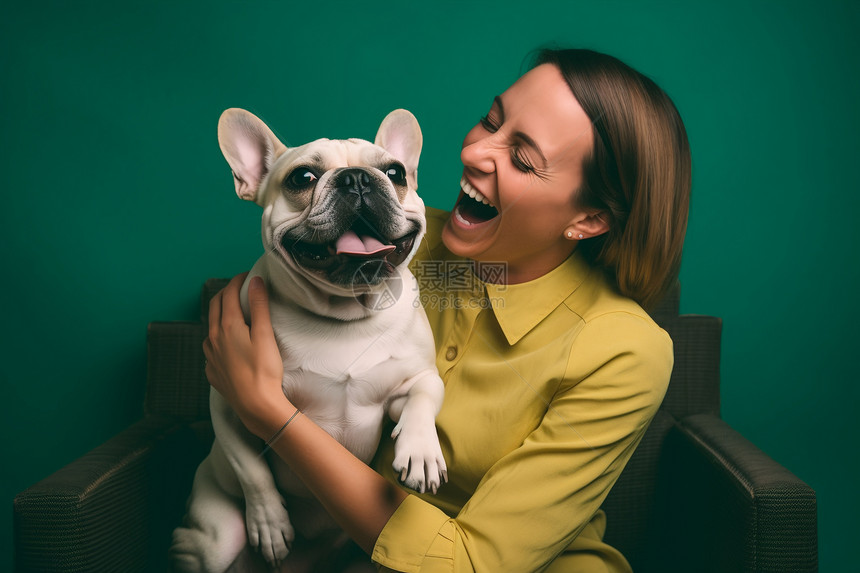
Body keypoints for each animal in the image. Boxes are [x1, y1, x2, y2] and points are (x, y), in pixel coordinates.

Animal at [170, 109, 446, 568]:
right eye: (302, 177)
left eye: (395, 172)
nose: (357, 178)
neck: (345, 313)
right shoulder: (229, 403)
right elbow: (250, 468)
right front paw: (269, 522)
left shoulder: (415, 379)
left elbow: (425, 396)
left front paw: (422, 452)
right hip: (217, 538)